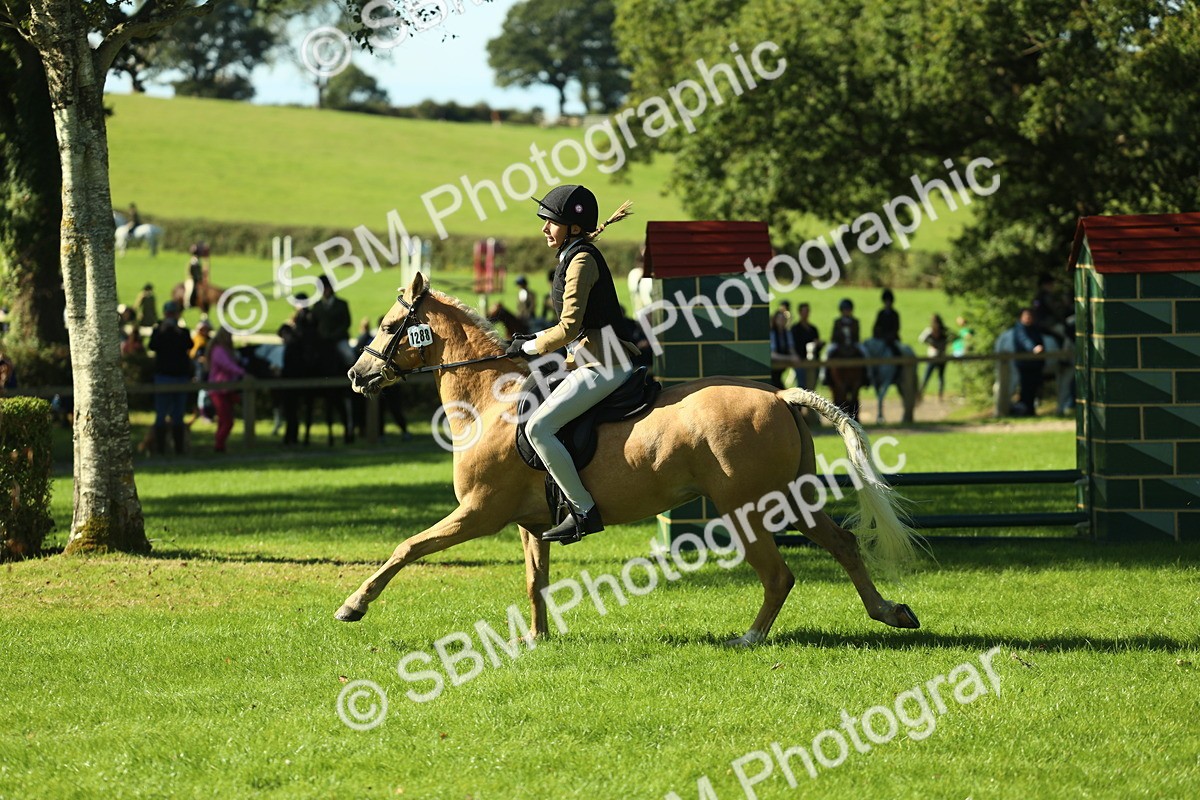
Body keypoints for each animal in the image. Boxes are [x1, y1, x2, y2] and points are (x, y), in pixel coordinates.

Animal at [336, 272, 922, 646]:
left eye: (388, 326)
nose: (356, 376)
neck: (490, 400)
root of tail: (779, 395)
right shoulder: (529, 522)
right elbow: (534, 580)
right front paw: (536, 638)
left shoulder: (479, 513)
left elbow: (407, 547)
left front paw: (353, 605)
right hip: (791, 501)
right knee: (843, 545)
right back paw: (890, 613)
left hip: (747, 508)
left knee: (778, 574)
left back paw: (749, 638)